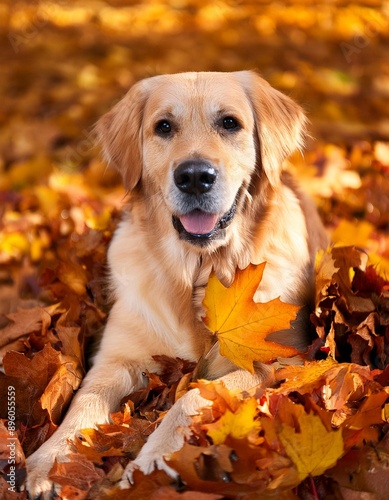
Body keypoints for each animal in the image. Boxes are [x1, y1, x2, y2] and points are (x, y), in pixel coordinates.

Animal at [25, 70, 326, 496]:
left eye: (229, 123)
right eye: (163, 127)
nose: (195, 177)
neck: (197, 272)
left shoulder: (280, 362)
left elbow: (192, 396)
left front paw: (153, 460)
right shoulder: (117, 358)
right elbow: (85, 399)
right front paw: (48, 460)